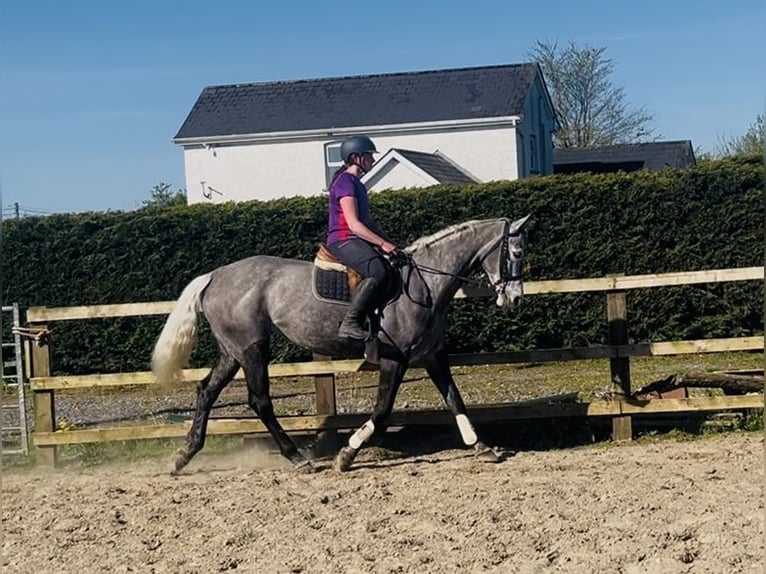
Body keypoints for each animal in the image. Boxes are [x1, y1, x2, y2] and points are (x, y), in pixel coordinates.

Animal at [151, 215, 531, 473]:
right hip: (252, 349)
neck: (425, 283)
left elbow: (455, 399)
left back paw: (184, 455)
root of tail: (214, 276)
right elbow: (382, 411)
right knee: (260, 401)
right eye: (515, 252)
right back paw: (296, 457)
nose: (514, 299)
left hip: (232, 351)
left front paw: (481, 446)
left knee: (206, 391)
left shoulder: (432, 355)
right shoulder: (395, 359)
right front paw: (347, 455)